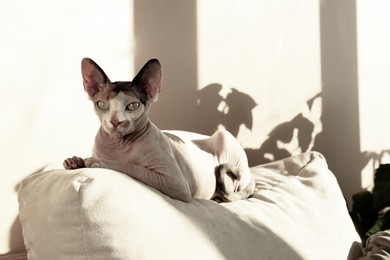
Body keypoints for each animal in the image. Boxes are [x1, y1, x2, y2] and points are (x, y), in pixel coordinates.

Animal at [62, 58, 254, 202]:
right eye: (101, 105)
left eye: (133, 106)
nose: (116, 121)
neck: (119, 144)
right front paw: (75, 160)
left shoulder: (176, 182)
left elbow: (132, 167)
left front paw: (98, 162)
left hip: (225, 137)